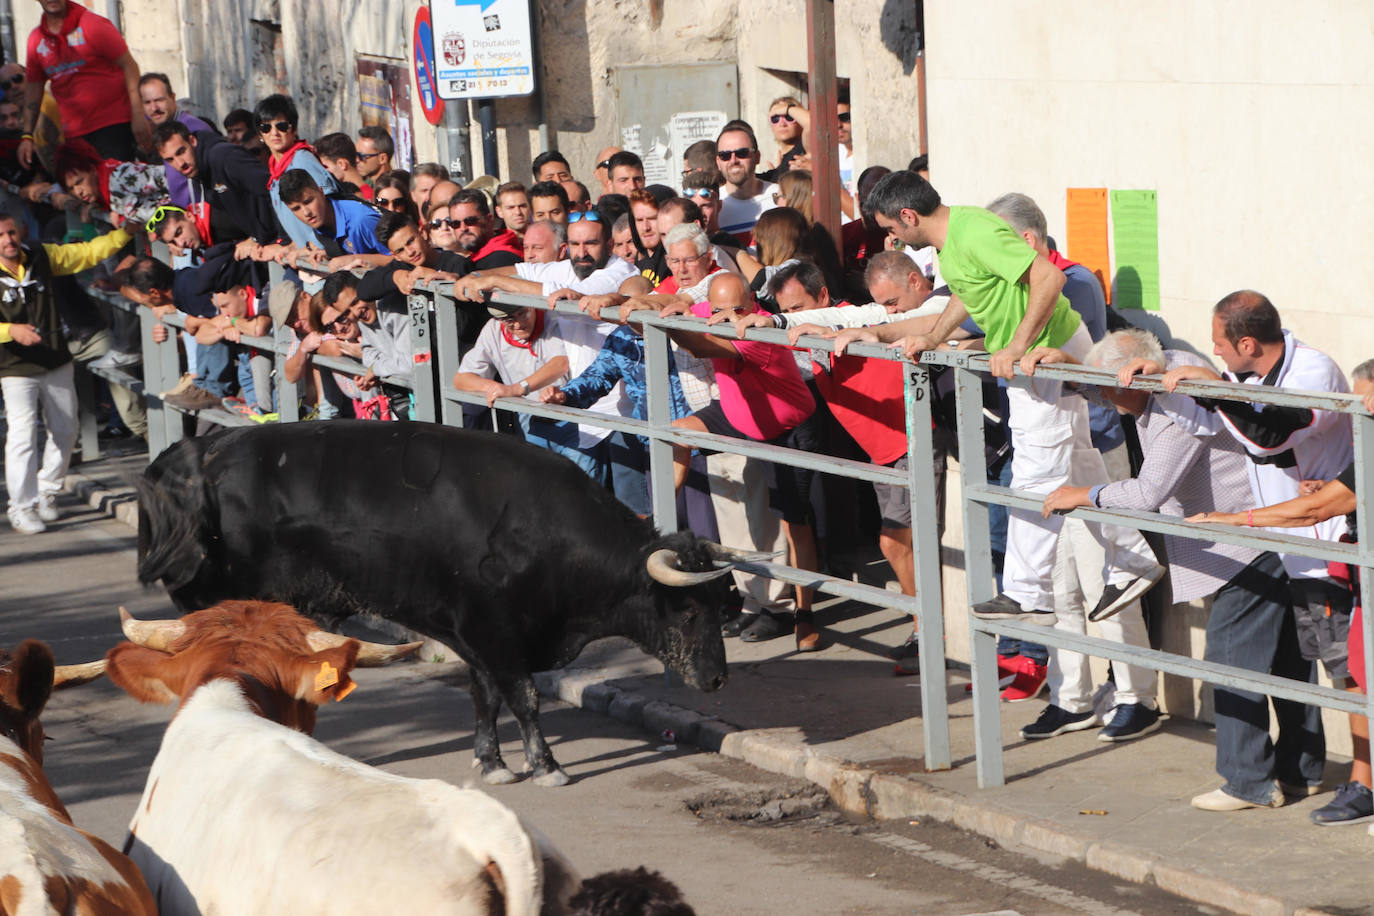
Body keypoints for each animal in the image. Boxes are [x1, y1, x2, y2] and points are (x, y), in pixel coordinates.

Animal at [138, 422, 741, 791]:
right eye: (688, 611)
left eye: (720, 607)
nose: (716, 679)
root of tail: (196, 455)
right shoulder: (494, 631)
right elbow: (524, 699)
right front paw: (546, 766)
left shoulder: (476, 637)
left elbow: (485, 700)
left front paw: (492, 762)